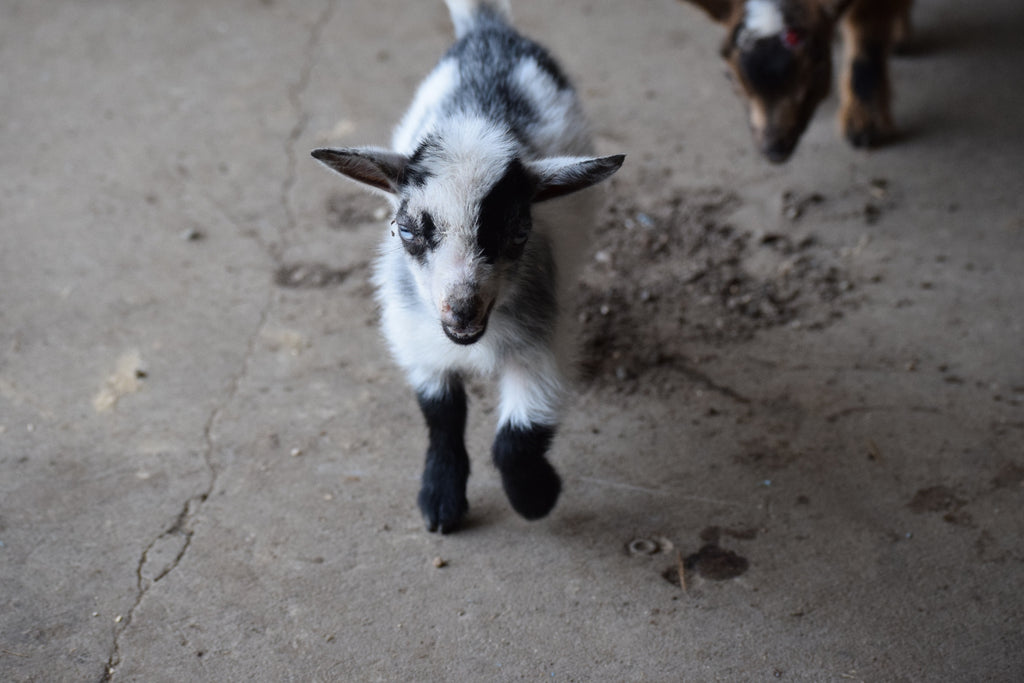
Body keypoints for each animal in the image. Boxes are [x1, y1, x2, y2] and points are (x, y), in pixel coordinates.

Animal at [312, 0, 624, 533]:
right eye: (407, 230)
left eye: (518, 230)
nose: (461, 311)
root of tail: (489, 29)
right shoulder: (415, 333)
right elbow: (441, 414)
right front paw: (439, 499)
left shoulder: (542, 341)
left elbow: (518, 434)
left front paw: (534, 497)